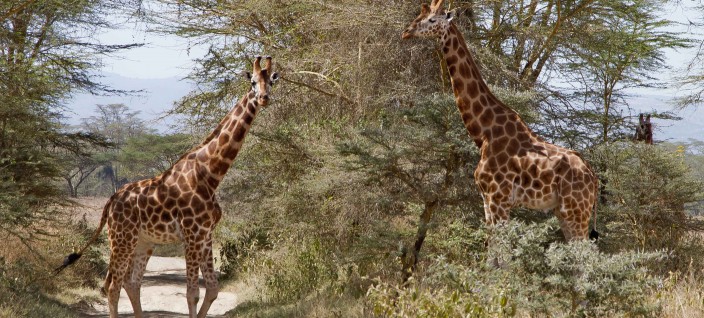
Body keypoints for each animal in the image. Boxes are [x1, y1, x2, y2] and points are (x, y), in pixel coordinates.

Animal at [56, 56, 280, 316]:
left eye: (271, 81)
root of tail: (110, 202)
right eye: (252, 82)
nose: (264, 98)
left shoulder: (206, 234)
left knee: (131, 283)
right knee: (113, 285)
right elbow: (192, 293)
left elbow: (213, 290)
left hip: (143, 242)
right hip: (122, 239)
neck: (211, 174)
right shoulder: (192, 234)